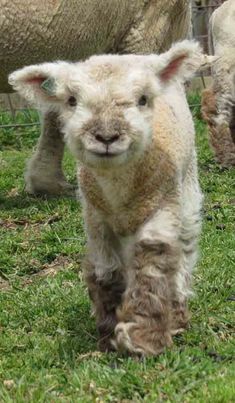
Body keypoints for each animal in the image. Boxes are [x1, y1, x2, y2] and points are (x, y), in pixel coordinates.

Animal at [9, 40, 203, 356]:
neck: (118, 189)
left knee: (184, 247)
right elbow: (107, 269)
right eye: (71, 100)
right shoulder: (96, 217)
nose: (107, 136)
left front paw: (142, 336)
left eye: (143, 99)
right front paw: (109, 331)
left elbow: (153, 260)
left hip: (186, 185)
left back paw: (178, 309)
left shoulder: (162, 206)